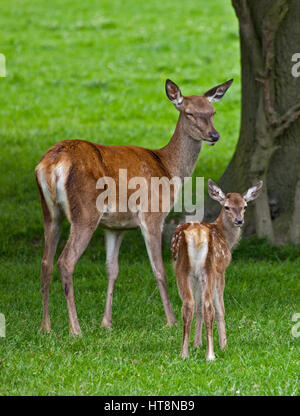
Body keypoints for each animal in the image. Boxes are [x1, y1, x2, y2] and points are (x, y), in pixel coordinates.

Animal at [34, 79, 232, 334]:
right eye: (189, 113)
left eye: (212, 111)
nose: (214, 135)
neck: (168, 169)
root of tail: (51, 163)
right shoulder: (152, 214)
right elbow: (159, 269)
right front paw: (171, 321)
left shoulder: (114, 226)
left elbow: (112, 270)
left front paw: (107, 323)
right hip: (85, 213)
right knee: (65, 261)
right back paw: (75, 329)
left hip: (50, 212)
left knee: (45, 262)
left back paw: (46, 326)